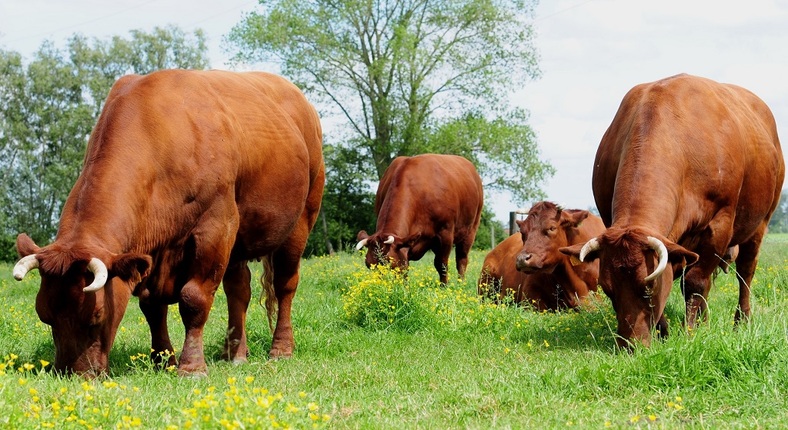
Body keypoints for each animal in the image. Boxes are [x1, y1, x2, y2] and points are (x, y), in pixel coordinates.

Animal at [10, 70, 324, 376]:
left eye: (96, 315)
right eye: (45, 315)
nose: (71, 374)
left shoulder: (216, 227)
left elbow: (194, 298)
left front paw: (191, 367)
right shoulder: (151, 255)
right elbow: (152, 307)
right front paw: (163, 361)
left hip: (301, 219)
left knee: (285, 284)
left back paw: (280, 350)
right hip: (239, 242)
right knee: (239, 290)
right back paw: (233, 354)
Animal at [356, 153, 480, 284]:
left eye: (392, 264)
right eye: (368, 265)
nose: (380, 287)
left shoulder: (445, 233)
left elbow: (442, 264)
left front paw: (444, 286)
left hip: (471, 230)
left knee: (461, 259)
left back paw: (461, 283)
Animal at [560, 74, 780, 350]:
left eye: (648, 289)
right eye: (609, 291)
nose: (629, 346)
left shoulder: (719, 224)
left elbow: (695, 282)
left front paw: (690, 333)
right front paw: (665, 333)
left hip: (760, 223)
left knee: (745, 274)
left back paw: (741, 322)